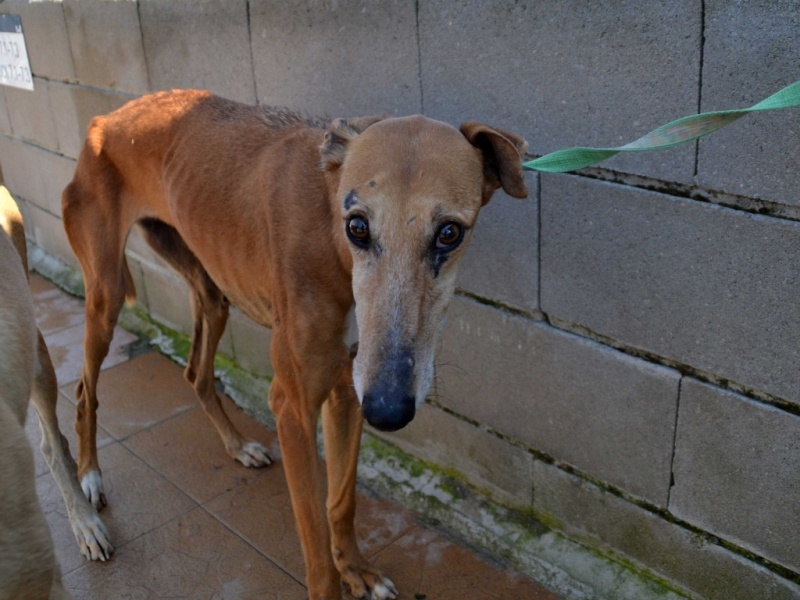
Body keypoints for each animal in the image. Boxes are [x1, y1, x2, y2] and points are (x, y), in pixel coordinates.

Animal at [62, 90, 524, 600]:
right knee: (84, 390)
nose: (388, 409)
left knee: (196, 372)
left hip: (212, 293)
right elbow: (314, 541)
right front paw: (335, 575)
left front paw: (356, 569)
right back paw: (88, 484)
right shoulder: (293, 406)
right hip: (105, 296)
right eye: (357, 226)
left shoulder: (347, 393)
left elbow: (340, 501)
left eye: (449, 233)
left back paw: (238, 446)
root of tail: (106, 118)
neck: (330, 232)